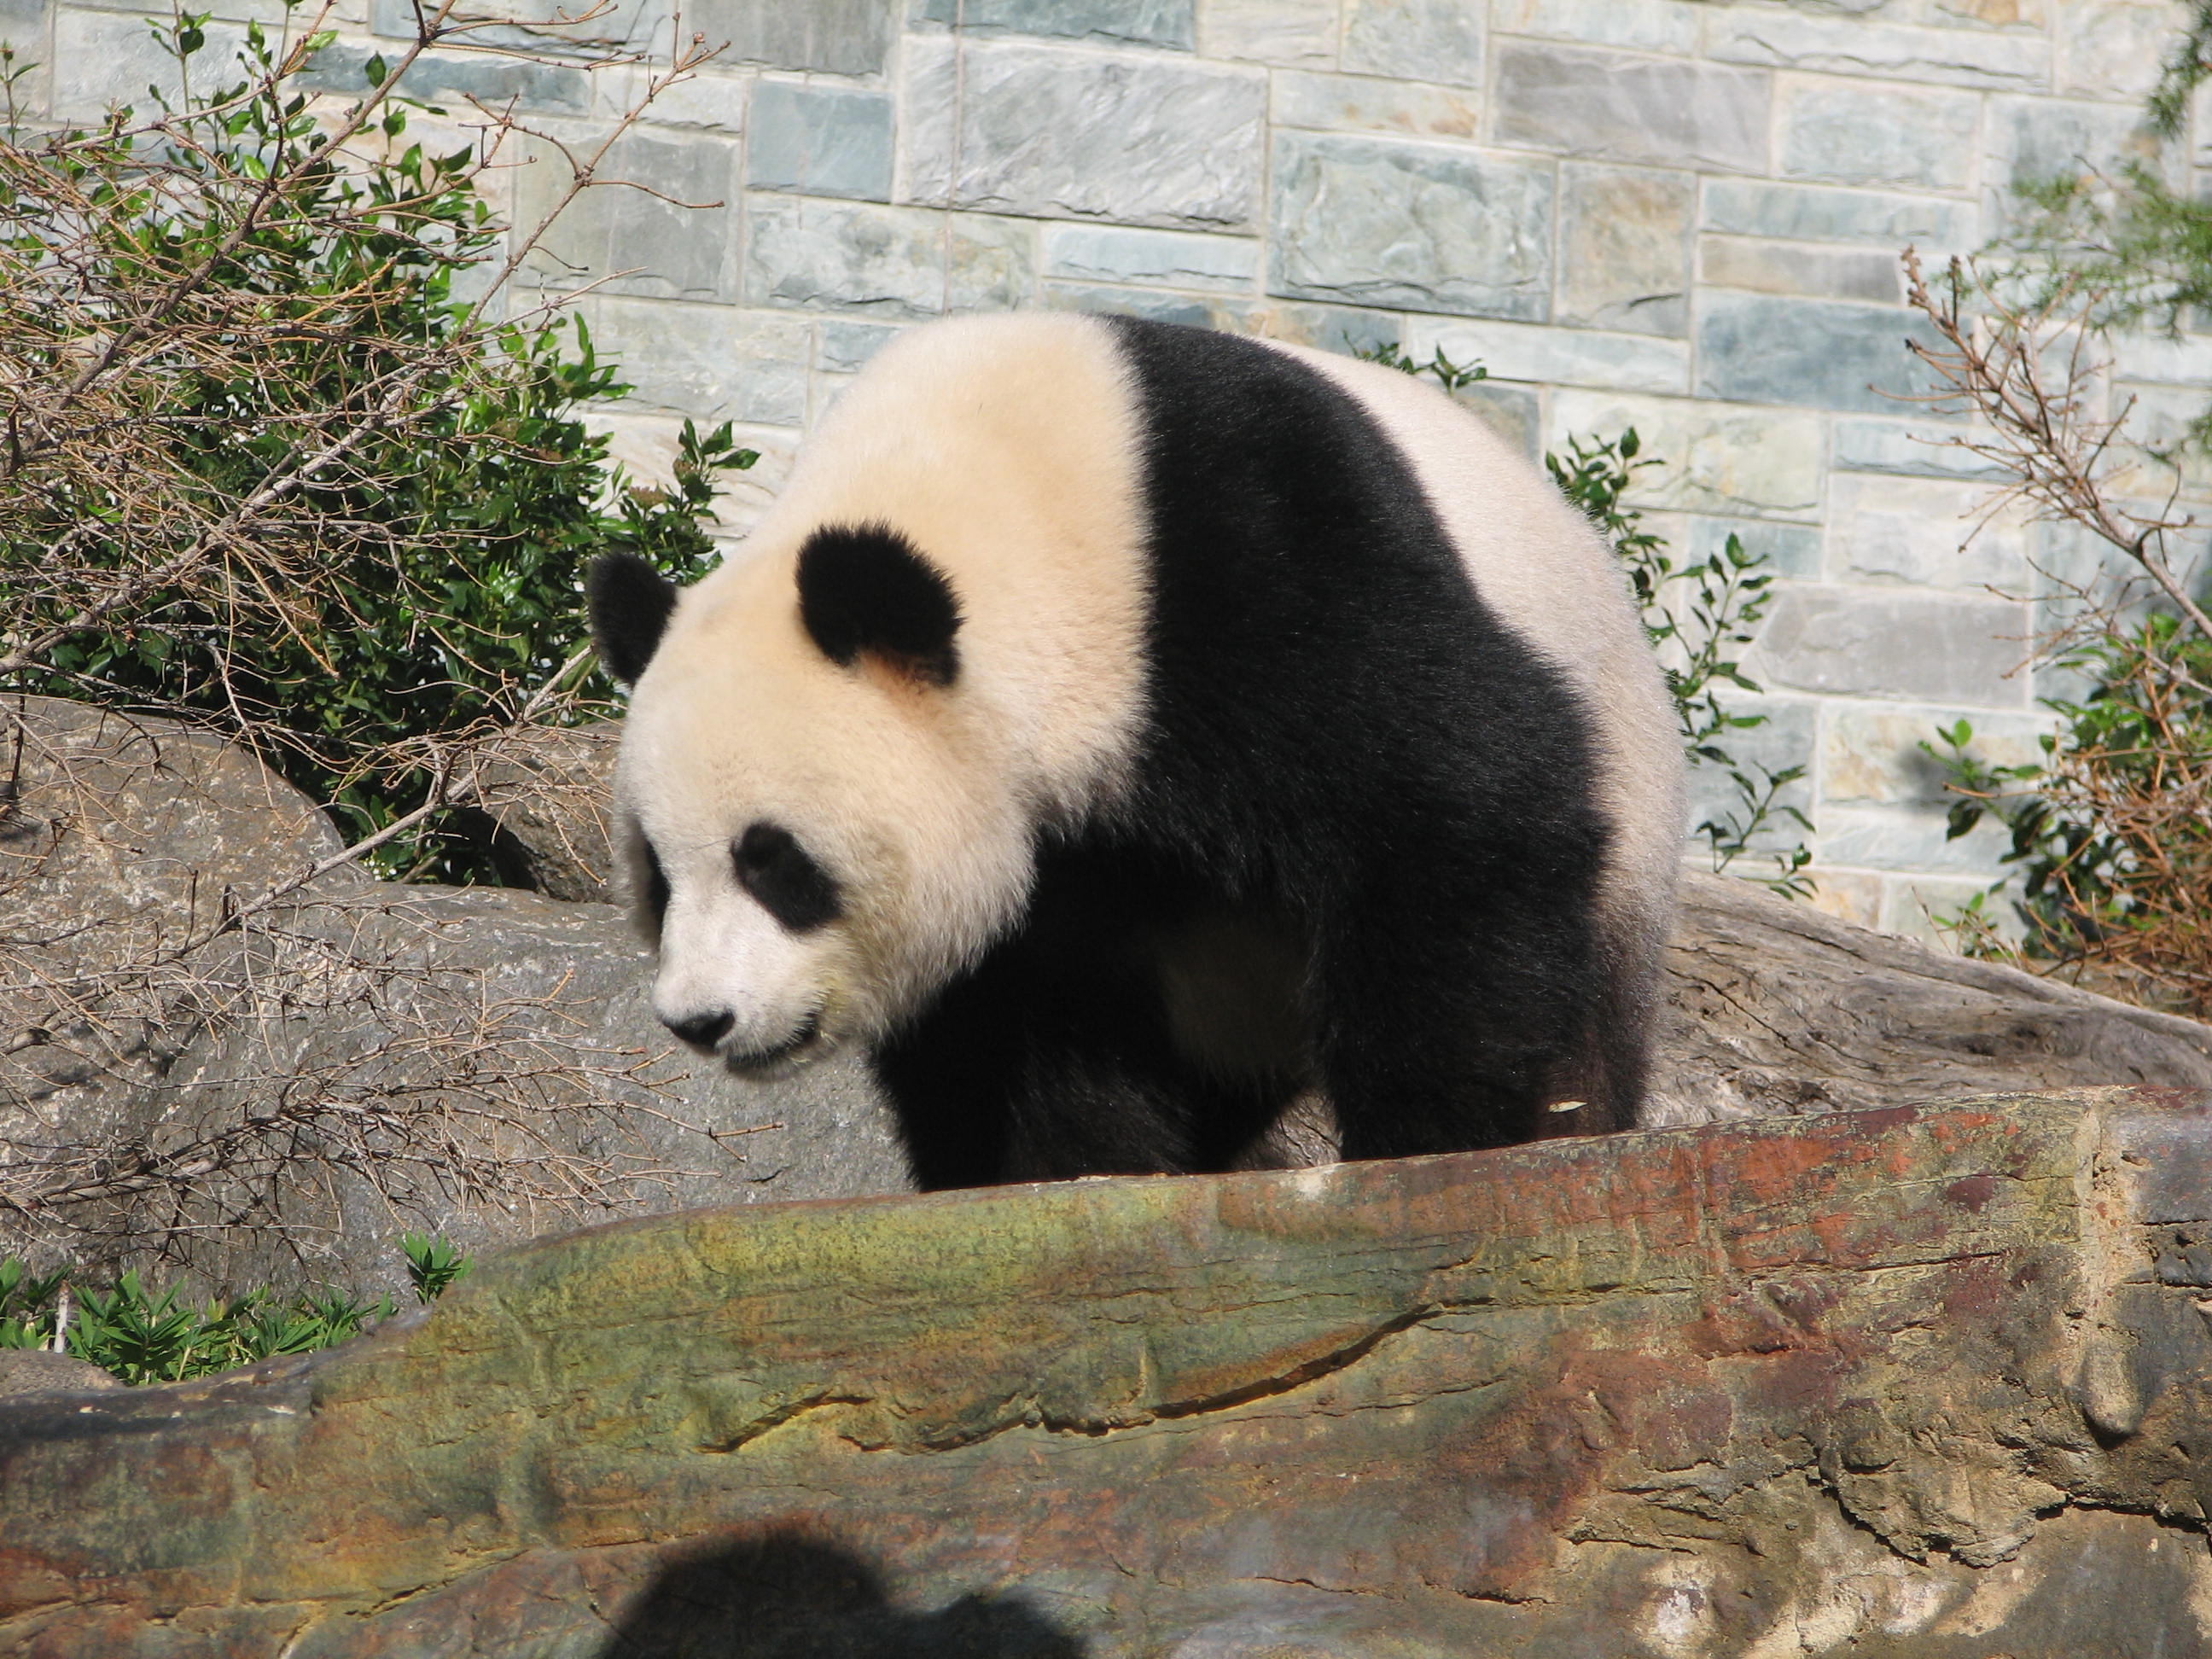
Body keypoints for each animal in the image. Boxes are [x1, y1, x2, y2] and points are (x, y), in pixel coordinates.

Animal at [587, 312, 1685, 1190]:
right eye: (659, 878)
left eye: (774, 863)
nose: (700, 1019)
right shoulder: (1062, 857)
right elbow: (1030, 1021)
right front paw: (1054, 1173)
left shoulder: (1262, 563)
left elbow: (1458, 809)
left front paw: (1426, 1140)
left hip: (1627, 816)